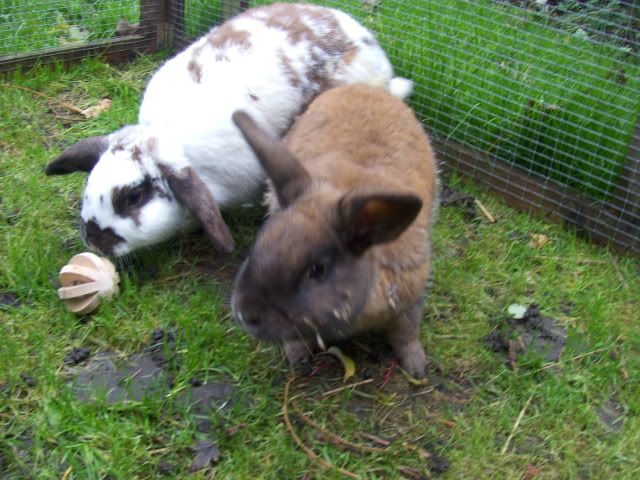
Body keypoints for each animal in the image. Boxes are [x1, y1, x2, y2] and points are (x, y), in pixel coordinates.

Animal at [231, 83, 440, 378]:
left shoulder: (410, 303)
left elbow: (406, 336)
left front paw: (417, 368)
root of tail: (365, 87)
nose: (245, 314)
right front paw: (296, 356)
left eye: (317, 270)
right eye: (258, 245)